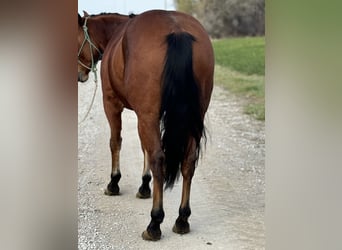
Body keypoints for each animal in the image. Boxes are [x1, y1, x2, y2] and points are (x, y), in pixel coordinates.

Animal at [77, 9, 214, 240]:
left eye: (76, 38)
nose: (80, 75)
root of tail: (176, 29)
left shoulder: (113, 104)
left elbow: (116, 142)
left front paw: (114, 183)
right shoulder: (146, 114)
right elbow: (144, 149)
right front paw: (144, 186)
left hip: (146, 115)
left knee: (159, 159)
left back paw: (154, 223)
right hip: (193, 116)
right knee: (188, 161)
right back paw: (182, 219)